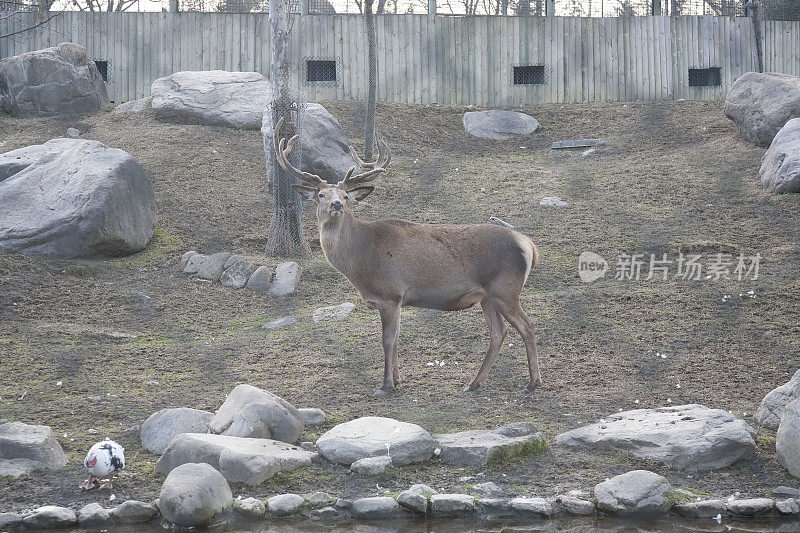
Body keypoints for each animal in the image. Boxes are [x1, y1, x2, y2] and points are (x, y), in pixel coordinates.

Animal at [276, 120, 544, 394]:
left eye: (346, 196)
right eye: (321, 194)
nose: (337, 205)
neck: (360, 260)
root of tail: (529, 246)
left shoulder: (389, 294)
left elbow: (387, 340)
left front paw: (385, 384)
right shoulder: (398, 300)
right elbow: (396, 339)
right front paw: (397, 380)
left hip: (505, 290)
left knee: (528, 326)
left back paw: (533, 382)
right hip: (487, 297)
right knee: (499, 332)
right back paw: (474, 383)